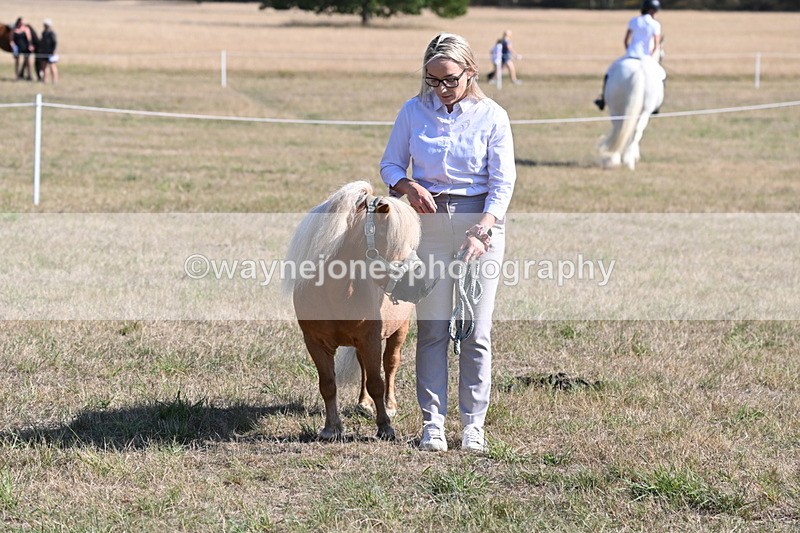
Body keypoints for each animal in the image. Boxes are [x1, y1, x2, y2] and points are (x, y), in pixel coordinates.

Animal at [283, 181, 423, 440]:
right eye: (386, 236)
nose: (421, 282)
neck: (334, 293)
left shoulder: (370, 339)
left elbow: (377, 382)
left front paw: (385, 426)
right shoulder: (315, 342)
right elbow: (328, 384)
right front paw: (331, 428)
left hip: (399, 330)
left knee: (390, 364)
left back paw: (390, 405)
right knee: (364, 369)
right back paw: (363, 404)